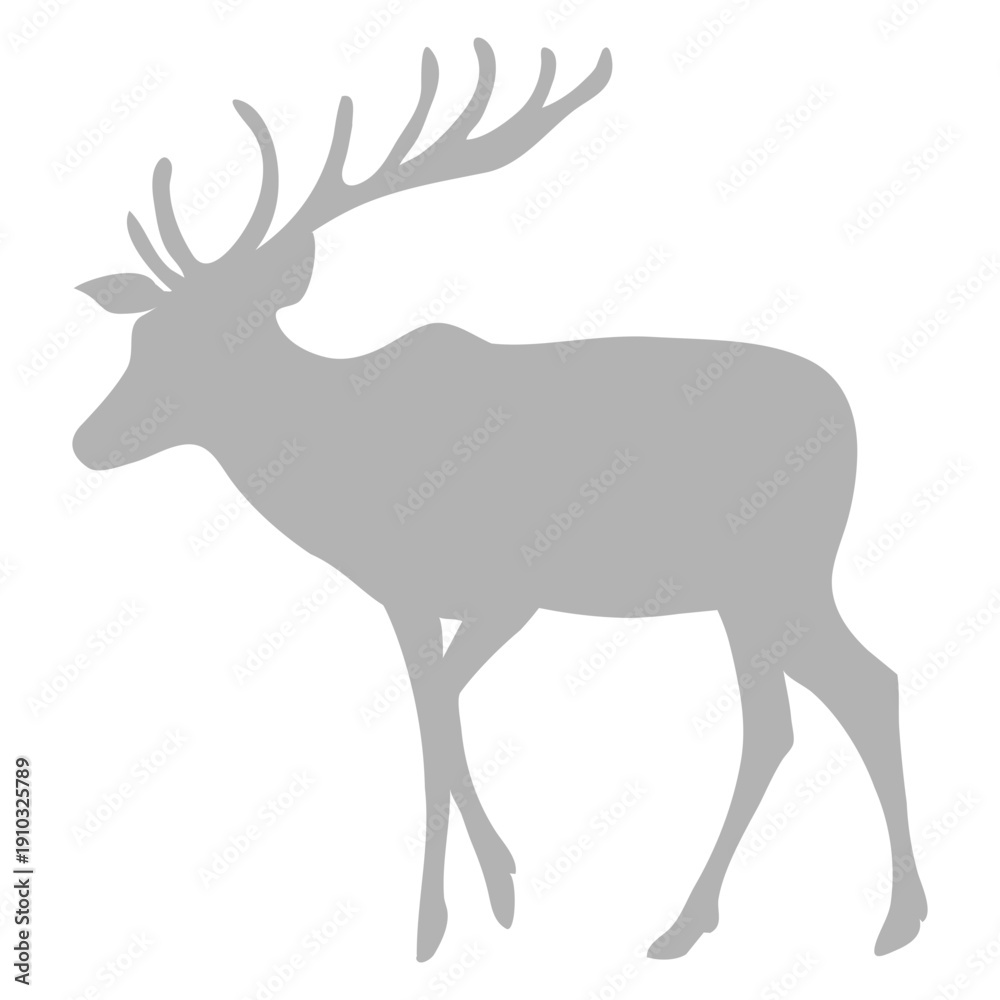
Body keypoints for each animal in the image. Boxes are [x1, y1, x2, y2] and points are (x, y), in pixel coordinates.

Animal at [73, 38, 927, 962]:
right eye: (141, 335)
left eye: (216, 339)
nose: (86, 441)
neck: (342, 462)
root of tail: (848, 418)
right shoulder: (405, 595)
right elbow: (429, 711)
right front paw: (477, 897)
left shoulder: (509, 586)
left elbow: (437, 710)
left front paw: (457, 908)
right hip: (774, 591)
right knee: (854, 689)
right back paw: (859, 919)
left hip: (770, 576)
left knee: (794, 714)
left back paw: (742, 919)